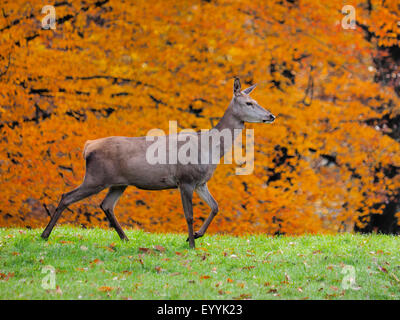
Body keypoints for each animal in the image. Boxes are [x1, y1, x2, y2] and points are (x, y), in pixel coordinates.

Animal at [40, 77, 276, 248]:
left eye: (256, 101)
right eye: (249, 103)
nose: (271, 115)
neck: (210, 148)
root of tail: (87, 147)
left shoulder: (201, 182)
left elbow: (216, 207)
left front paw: (196, 235)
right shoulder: (185, 179)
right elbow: (189, 215)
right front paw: (191, 244)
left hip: (119, 183)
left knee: (106, 205)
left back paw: (125, 239)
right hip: (96, 177)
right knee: (67, 196)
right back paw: (44, 235)